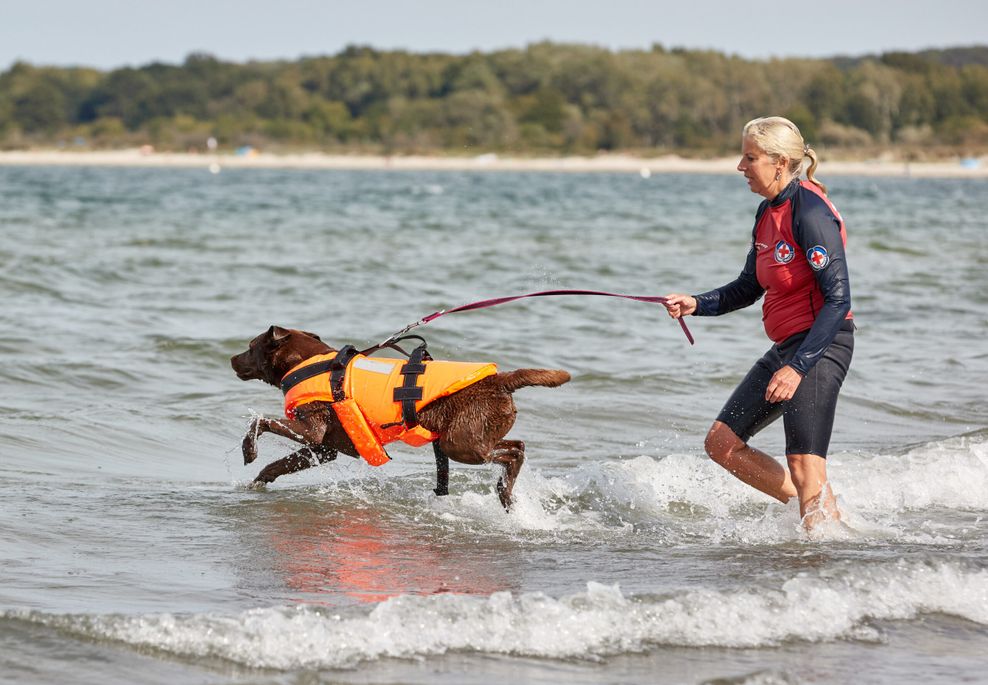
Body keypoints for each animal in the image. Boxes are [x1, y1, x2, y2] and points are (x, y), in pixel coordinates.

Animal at [230, 326, 572, 508]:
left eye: (250, 346)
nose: (232, 358)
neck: (312, 363)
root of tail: (500, 380)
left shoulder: (312, 429)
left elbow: (259, 421)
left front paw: (249, 450)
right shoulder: (326, 447)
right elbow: (278, 465)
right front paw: (258, 482)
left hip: (460, 444)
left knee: (513, 452)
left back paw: (504, 488)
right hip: (473, 435)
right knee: (517, 446)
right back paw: (506, 493)